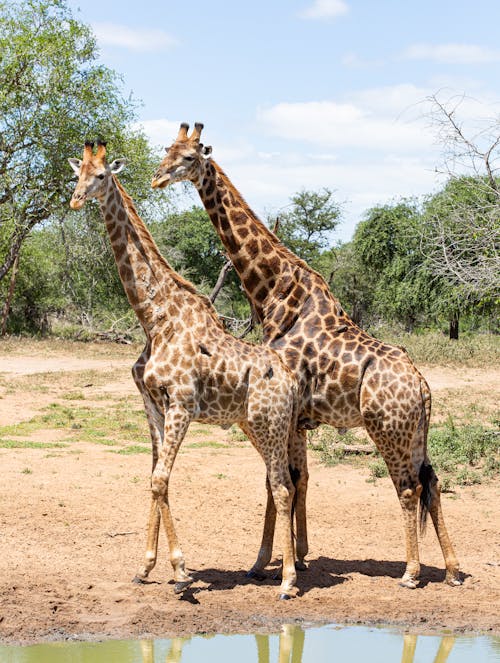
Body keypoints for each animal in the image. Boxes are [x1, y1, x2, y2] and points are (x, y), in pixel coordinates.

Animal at [67, 141, 300, 600]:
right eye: (77, 173)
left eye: (101, 175)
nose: (76, 200)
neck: (155, 319)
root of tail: (291, 379)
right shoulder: (152, 404)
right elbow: (156, 477)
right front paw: (146, 567)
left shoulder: (182, 404)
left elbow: (160, 480)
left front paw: (180, 572)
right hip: (253, 425)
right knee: (277, 481)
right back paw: (271, 567)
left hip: (271, 422)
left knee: (283, 486)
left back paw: (287, 581)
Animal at [149, 122, 460, 588]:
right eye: (167, 149)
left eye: (189, 157)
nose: (158, 177)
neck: (275, 292)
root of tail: (423, 386)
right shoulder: (297, 418)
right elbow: (297, 480)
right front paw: (296, 557)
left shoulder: (285, 412)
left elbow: (279, 482)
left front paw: (267, 561)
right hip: (416, 431)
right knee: (433, 481)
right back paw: (454, 569)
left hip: (387, 429)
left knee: (408, 488)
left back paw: (410, 571)